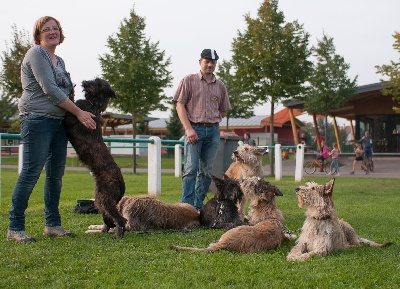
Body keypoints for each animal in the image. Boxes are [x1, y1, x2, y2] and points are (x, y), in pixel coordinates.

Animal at [65, 77, 126, 237]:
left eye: (98, 83)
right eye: (95, 79)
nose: (85, 82)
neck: (94, 105)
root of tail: (121, 181)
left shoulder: (71, 116)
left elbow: (70, 102)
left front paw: (70, 91)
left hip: (105, 199)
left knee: (121, 220)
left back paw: (118, 233)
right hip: (100, 200)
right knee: (109, 220)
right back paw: (103, 231)